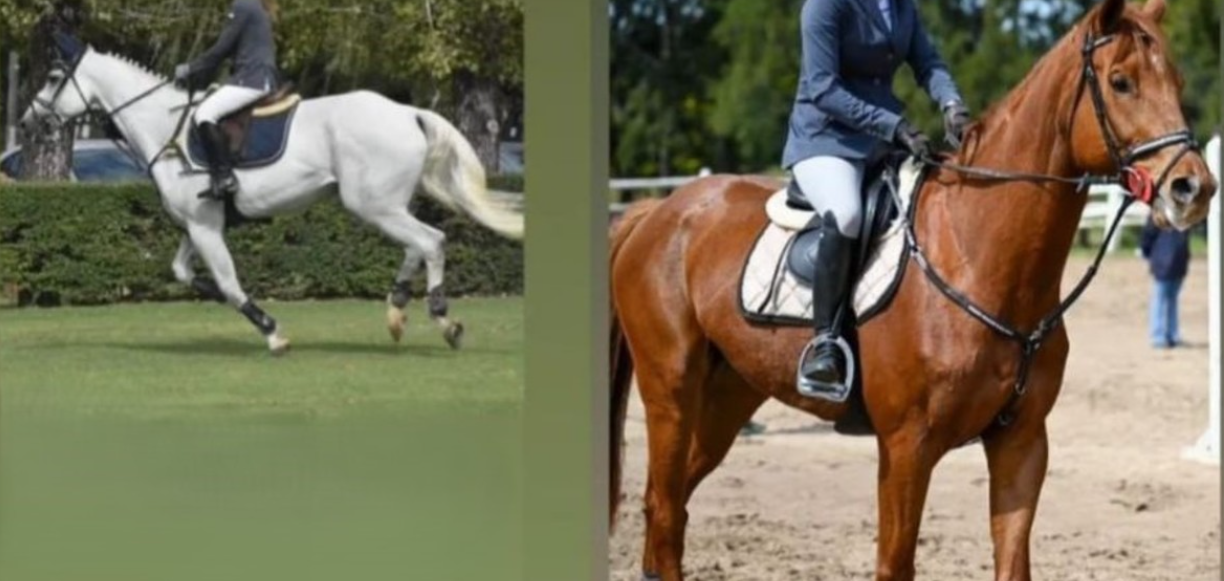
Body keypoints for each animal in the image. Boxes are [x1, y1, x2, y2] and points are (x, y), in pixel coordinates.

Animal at [20, 36, 523, 355]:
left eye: (52, 77)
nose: (27, 122)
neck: (165, 128)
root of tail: (406, 111)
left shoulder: (204, 227)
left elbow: (228, 282)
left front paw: (272, 332)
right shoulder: (196, 224)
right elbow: (185, 272)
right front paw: (213, 294)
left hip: (373, 205)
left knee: (431, 241)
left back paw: (443, 320)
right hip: (381, 205)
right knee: (415, 246)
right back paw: (397, 311)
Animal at [608, 0, 1215, 579]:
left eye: (1179, 80)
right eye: (1120, 82)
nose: (1194, 188)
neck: (976, 256)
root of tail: (658, 211)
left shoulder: (1023, 443)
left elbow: (1012, 560)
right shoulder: (906, 447)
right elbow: (895, 562)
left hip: (728, 398)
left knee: (668, 505)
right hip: (671, 391)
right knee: (665, 508)